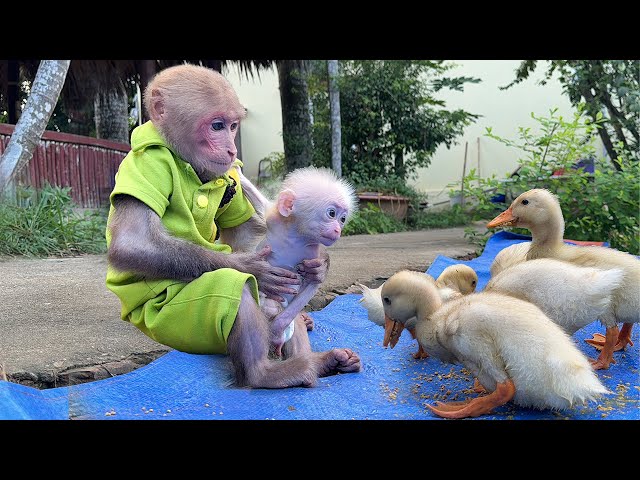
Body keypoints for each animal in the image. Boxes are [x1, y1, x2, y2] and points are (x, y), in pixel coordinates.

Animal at [105, 63, 360, 388]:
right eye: (217, 126)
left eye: (233, 127)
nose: (229, 149)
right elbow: (132, 245)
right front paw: (253, 266)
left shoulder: (307, 249)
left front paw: (321, 268)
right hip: (173, 321)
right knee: (237, 286)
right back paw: (263, 371)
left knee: (285, 317)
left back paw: (319, 358)